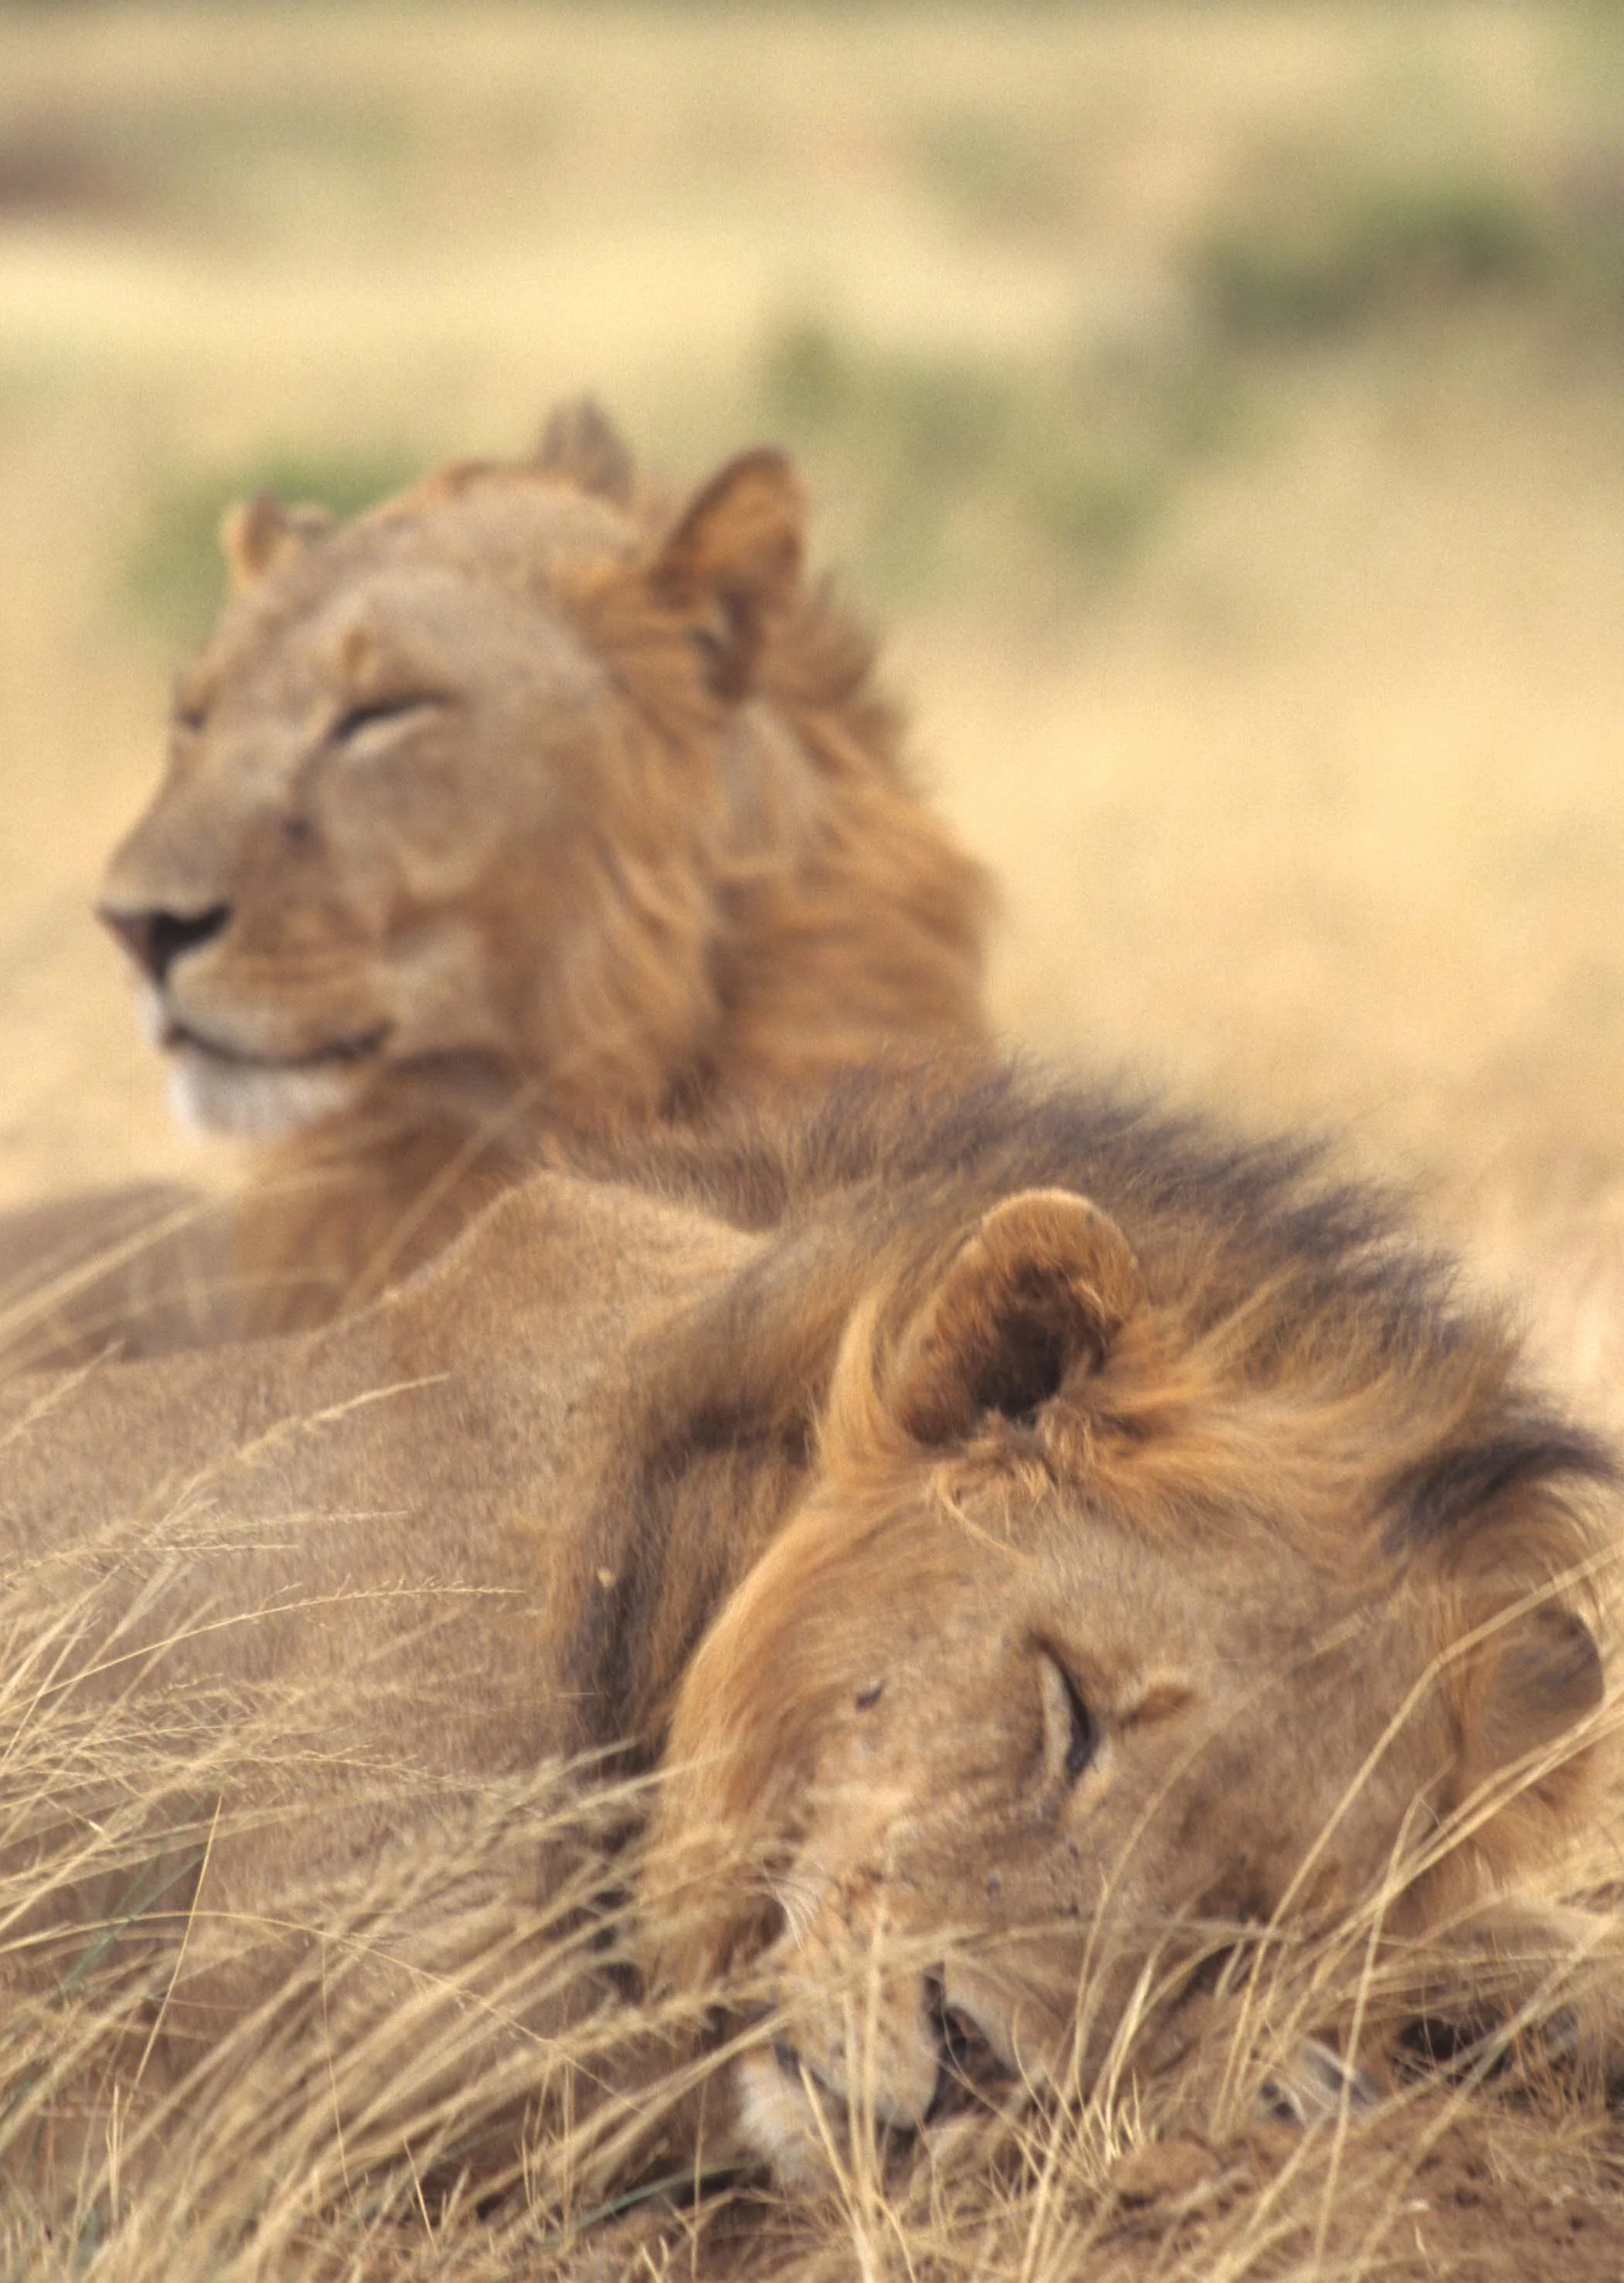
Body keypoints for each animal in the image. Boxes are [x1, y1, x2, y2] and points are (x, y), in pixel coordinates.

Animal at [0, 1062, 1612, 2214]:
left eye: (1242, 1932)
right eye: (1066, 1708)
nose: (973, 2075)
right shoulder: (285, 2004)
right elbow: (665, 2058)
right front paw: (1285, 2090)